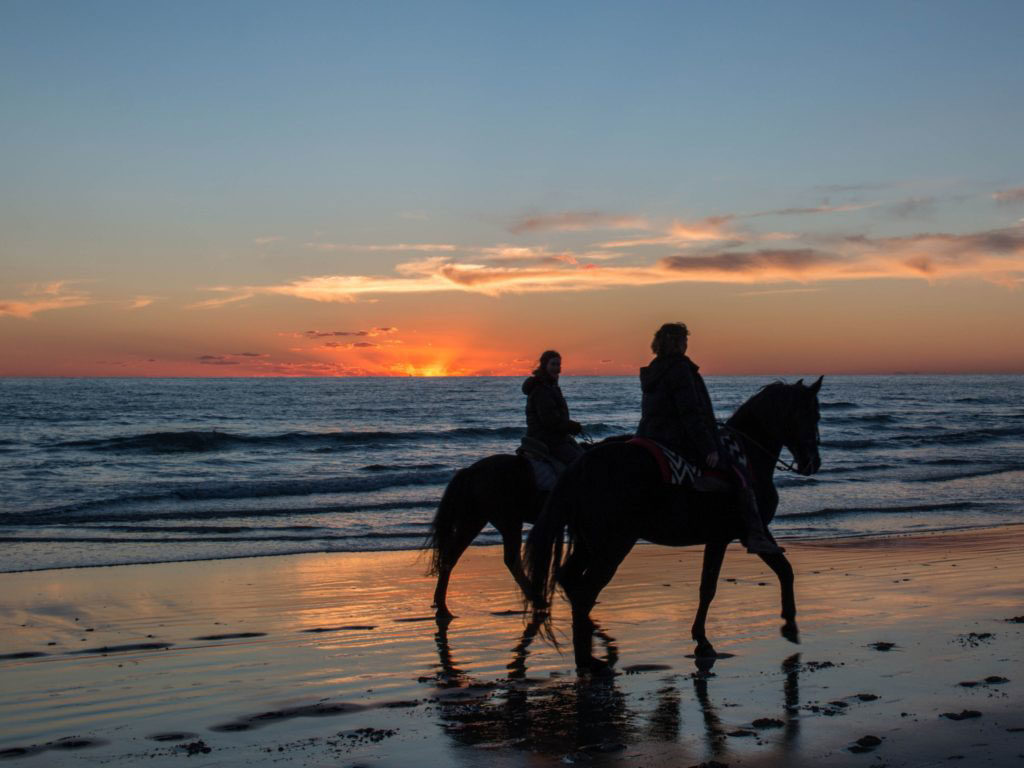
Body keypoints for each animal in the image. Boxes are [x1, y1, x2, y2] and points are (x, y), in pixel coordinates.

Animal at [528, 378, 823, 671]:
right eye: (812, 414)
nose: (813, 462)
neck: (749, 458)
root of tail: (581, 465)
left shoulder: (733, 536)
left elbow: (780, 572)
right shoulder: (739, 534)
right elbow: (714, 587)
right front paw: (707, 640)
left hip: (589, 543)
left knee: (571, 581)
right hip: (613, 545)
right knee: (586, 591)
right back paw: (588, 660)